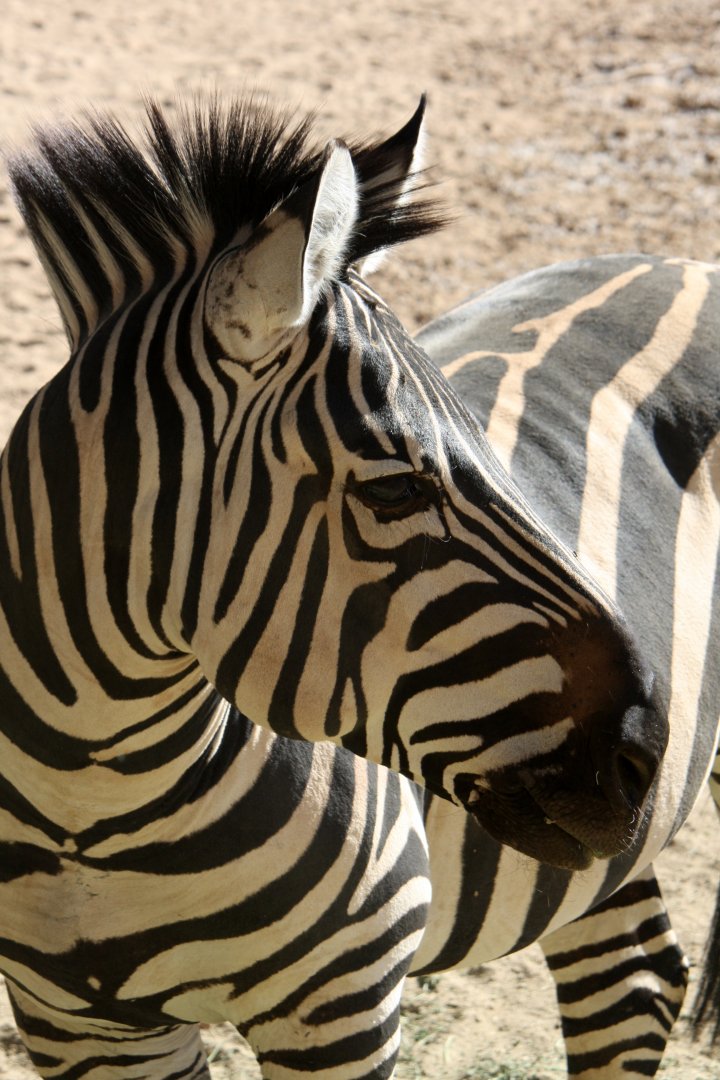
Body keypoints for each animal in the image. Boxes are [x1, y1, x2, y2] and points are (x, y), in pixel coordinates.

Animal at [1, 93, 675, 1079]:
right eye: (395, 490)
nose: (646, 752)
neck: (91, 804)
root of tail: (676, 258)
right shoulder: (78, 1027)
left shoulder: (344, 1008)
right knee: (632, 977)